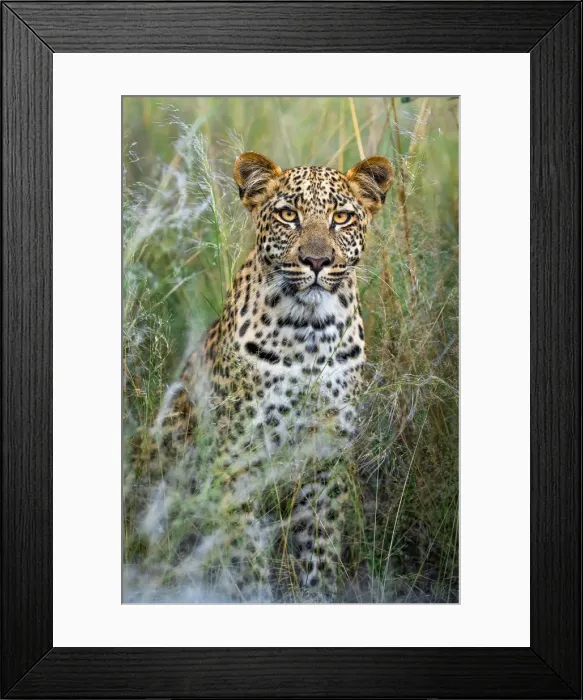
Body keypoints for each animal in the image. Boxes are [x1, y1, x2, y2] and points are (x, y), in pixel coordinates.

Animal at [128, 151, 393, 602]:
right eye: (288, 215)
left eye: (341, 218)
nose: (317, 261)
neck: (310, 332)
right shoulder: (238, 454)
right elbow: (245, 548)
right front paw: (253, 594)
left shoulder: (327, 453)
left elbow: (319, 544)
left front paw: (318, 594)